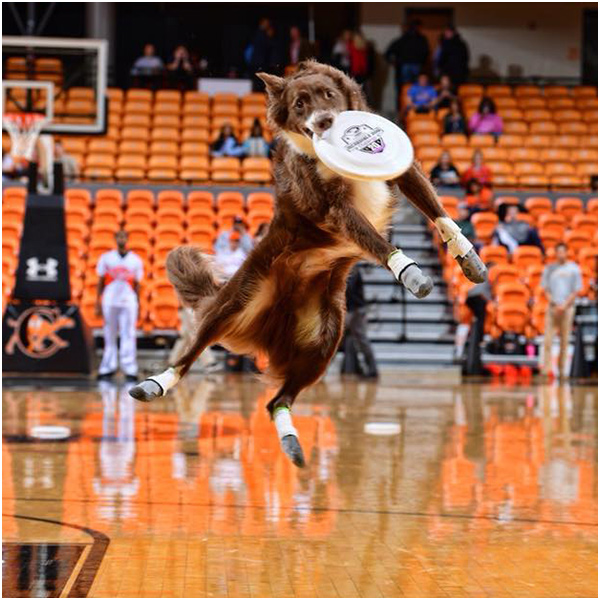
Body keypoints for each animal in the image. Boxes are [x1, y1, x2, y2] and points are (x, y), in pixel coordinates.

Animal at [131, 61, 488, 466]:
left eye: (328, 95)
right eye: (300, 104)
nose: (325, 122)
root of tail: (275, 323)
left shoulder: (402, 170)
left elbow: (436, 210)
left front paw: (467, 257)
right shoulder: (334, 207)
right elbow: (375, 240)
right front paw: (408, 270)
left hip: (325, 338)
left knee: (277, 400)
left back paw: (291, 441)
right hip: (234, 305)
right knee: (192, 352)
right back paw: (154, 383)